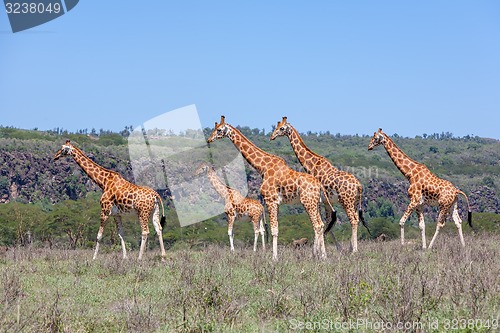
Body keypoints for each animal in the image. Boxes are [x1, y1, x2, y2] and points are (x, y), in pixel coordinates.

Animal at [207, 116, 328, 260]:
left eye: (219, 130)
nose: (209, 139)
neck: (262, 167)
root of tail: (319, 185)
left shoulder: (271, 200)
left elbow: (274, 230)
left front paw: (274, 257)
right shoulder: (276, 202)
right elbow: (273, 229)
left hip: (308, 202)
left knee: (317, 225)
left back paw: (317, 256)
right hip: (316, 203)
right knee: (321, 224)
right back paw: (323, 255)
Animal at [270, 116, 372, 252]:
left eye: (281, 128)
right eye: (275, 127)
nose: (272, 136)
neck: (312, 165)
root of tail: (359, 186)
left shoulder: (319, 199)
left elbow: (323, 223)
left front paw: (318, 249)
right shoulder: (325, 201)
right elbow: (328, 222)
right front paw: (337, 248)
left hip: (346, 201)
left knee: (354, 220)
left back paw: (354, 251)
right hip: (354, 202)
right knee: (356, 219)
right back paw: (351, 248)